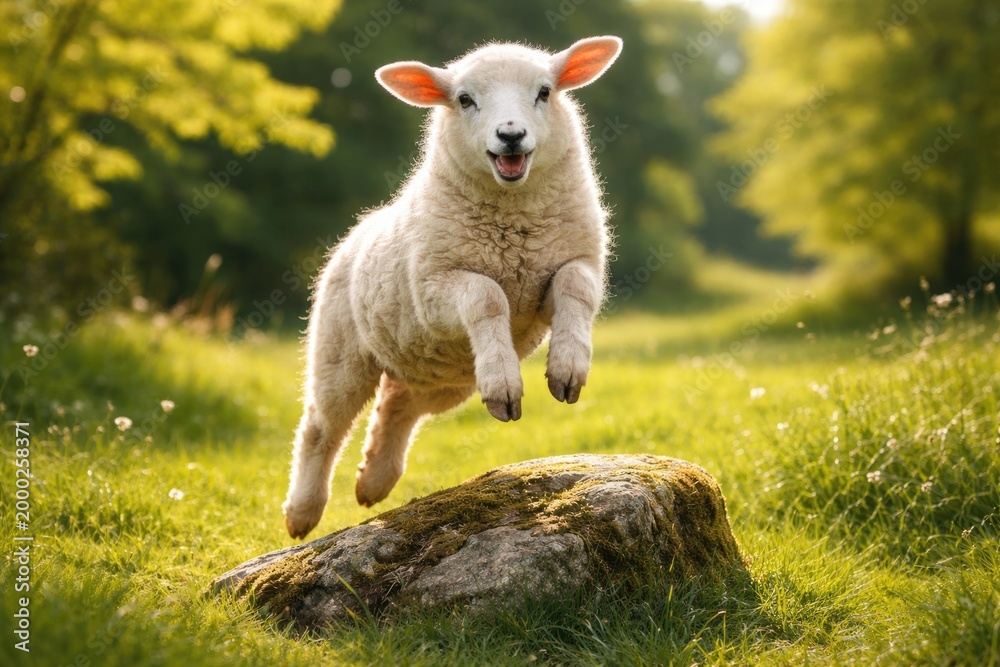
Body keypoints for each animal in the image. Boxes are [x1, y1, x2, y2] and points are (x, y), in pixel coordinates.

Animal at [283, 36, 623, 539]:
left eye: (544, 92)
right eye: (464, 99)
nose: (510, 134)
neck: (514, 226)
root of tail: (356, 232)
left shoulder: (574, 264)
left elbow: (574, 286)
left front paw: (567, 368)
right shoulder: (434, 288)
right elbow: (486, 296)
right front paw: (506, 382)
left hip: (438, 373)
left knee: (398, 407)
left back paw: (373, 482)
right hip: (340, 350)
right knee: (320, 427)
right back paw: (302, 512)